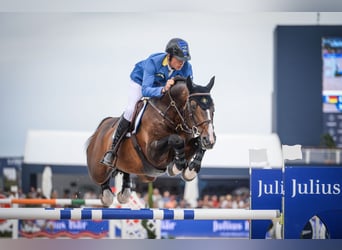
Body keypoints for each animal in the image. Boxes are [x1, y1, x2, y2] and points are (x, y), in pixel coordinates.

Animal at [85, 77, 215, 206]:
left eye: (213, 107)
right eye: (193, 106)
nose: (210, 139)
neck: (171, 117)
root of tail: (101, 127)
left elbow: (197, 143)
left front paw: (190, 170)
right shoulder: (153, 154)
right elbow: (175, 139)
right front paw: (177, 166)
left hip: (144, 174)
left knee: (125, 172)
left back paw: (125, 191)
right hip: (98, 170)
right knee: (102, 181)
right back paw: (107, 192)